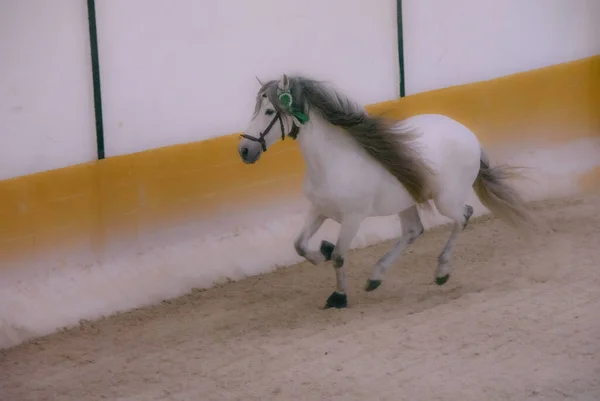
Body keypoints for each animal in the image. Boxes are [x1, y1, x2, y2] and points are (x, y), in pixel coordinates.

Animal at [237, 73, 532, 308]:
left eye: (268, 112)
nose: (244, 150)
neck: (332, 161)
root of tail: (469, 135)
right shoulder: (318, 210)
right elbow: (299, 246)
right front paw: (323, 252)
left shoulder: (353, 218)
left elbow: (340, 257)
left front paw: (339, 296)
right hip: (407, 201)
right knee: (414, 231)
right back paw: (375, 277)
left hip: (445, 201)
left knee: (463, 216)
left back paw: (441, 271)